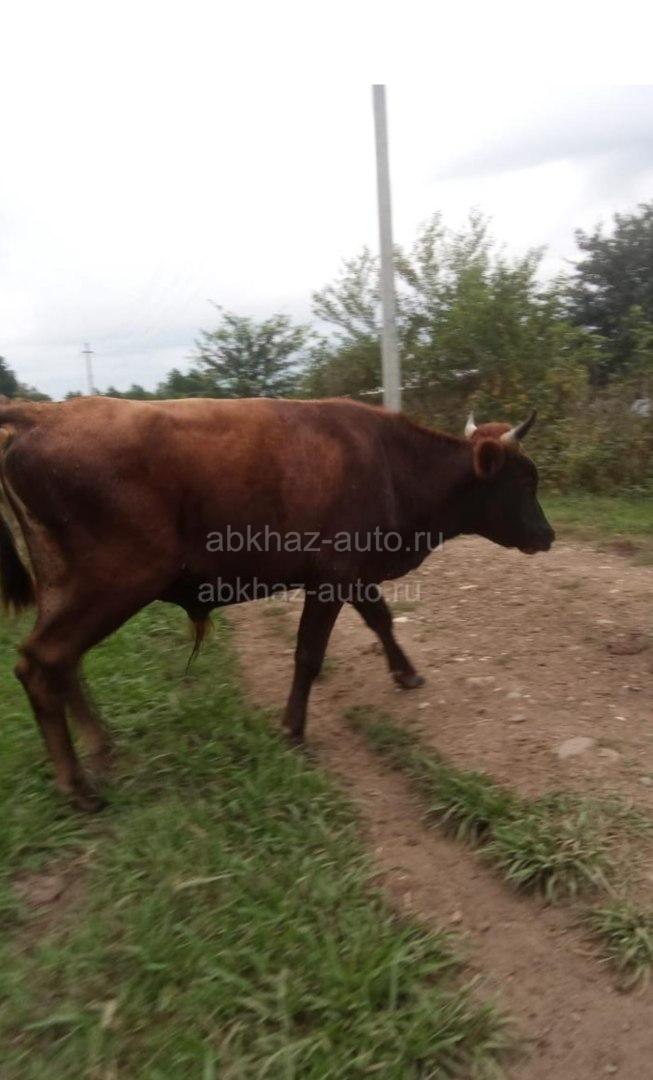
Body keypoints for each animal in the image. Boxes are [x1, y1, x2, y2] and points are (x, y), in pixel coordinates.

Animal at [0, 395, 554, 810]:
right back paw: (79, 785)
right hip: (115, 581)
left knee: (61, 663)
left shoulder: (350, 575)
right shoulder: (331, 577)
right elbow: (309, 654)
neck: (390, 463)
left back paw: (101, 749)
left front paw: (406, 672)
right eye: (526, 481)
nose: (547, 535)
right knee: (42, 662)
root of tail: (41, 414)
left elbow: (380, 619)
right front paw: (292, 729)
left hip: (67, 586)